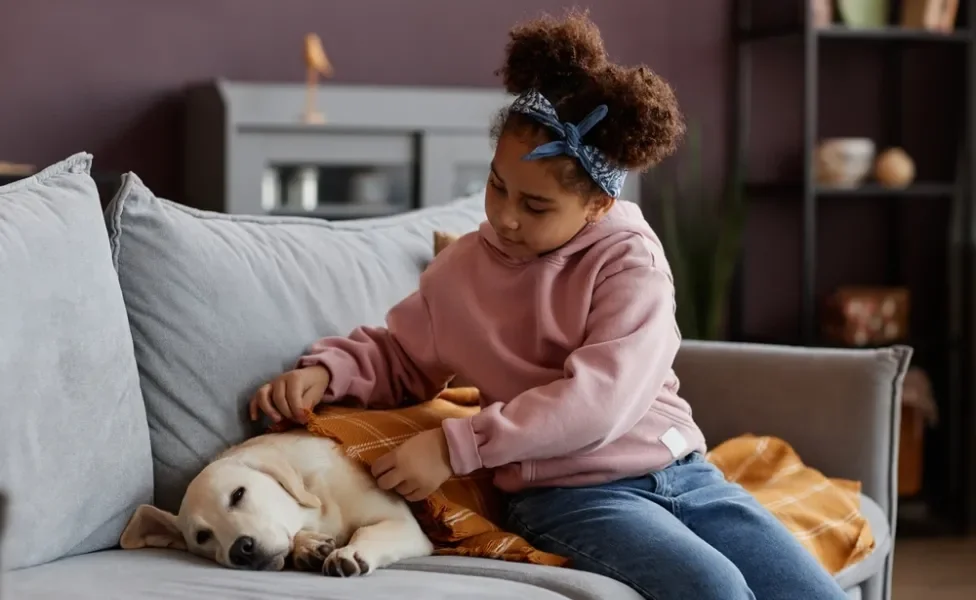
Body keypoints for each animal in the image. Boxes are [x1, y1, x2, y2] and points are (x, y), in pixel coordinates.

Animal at [118, 432, 430, 576]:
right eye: (202, 536)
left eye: (238, 494)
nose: (241, 551)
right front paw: (308, 546)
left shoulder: (404, 524)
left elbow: (368, 530)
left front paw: (349, 552)